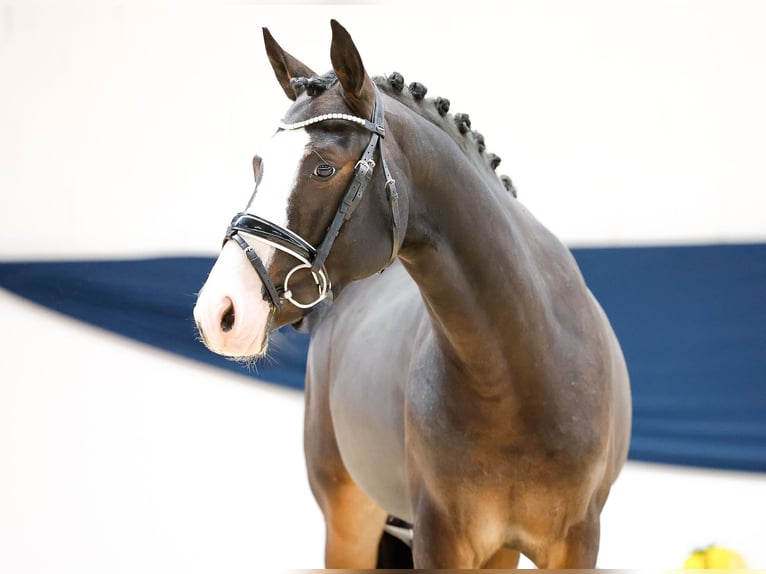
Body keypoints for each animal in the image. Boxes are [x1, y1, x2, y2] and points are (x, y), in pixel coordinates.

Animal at [195, 19, 632, 572]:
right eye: (259, 166)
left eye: (323, 168)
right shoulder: (438, 538)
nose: (219, 312)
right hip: (350, 523)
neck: (520, 371)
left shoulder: (575, 543)